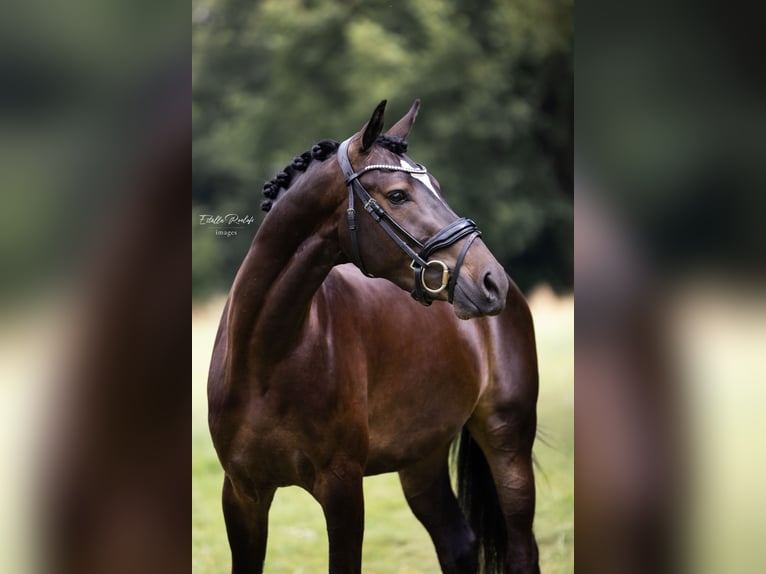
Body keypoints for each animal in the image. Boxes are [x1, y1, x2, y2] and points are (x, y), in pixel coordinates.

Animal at [206, 100, 540, 574]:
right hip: (422, 458)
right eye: (397, 194)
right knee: (457, 542)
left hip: (508, 441)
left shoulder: (343, 490)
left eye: (437, 187)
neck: (268, 357)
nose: (489, 280)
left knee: (521, 549)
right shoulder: (242, 493)